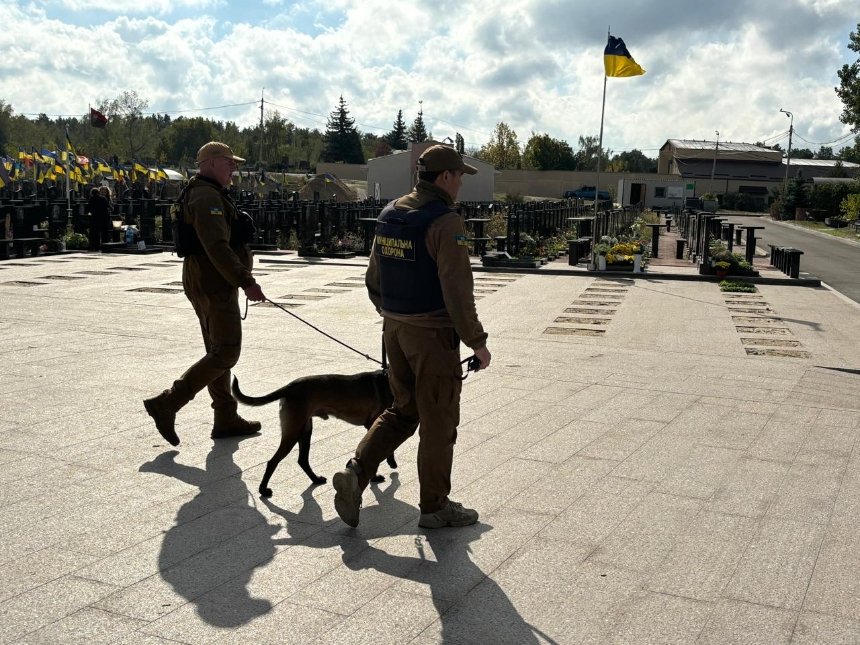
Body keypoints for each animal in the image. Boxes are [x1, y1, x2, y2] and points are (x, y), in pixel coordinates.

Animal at [233, 368, 398, 498]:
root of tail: (289, 387)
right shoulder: (376, 424)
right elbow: (375, 452)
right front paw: (377, 474)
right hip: (293, 432)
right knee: (272, 462)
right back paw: (263, 490)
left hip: (305, 430)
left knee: (302, 460)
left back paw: (315, 479)